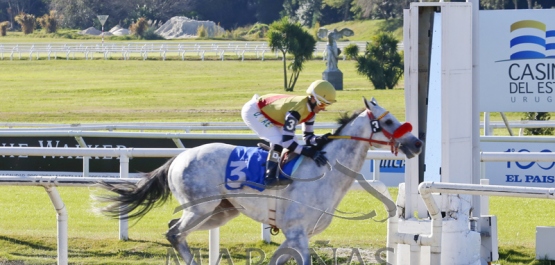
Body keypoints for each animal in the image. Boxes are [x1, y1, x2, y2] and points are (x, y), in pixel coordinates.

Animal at [97, 97, 424, 264]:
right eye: (389, 121)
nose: (417, 143)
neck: (325, 173)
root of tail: (177, 158)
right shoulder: (297, 233)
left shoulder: (294, 236)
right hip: (201, 208)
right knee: (174, 233)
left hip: (219, 212)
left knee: (174, 230)